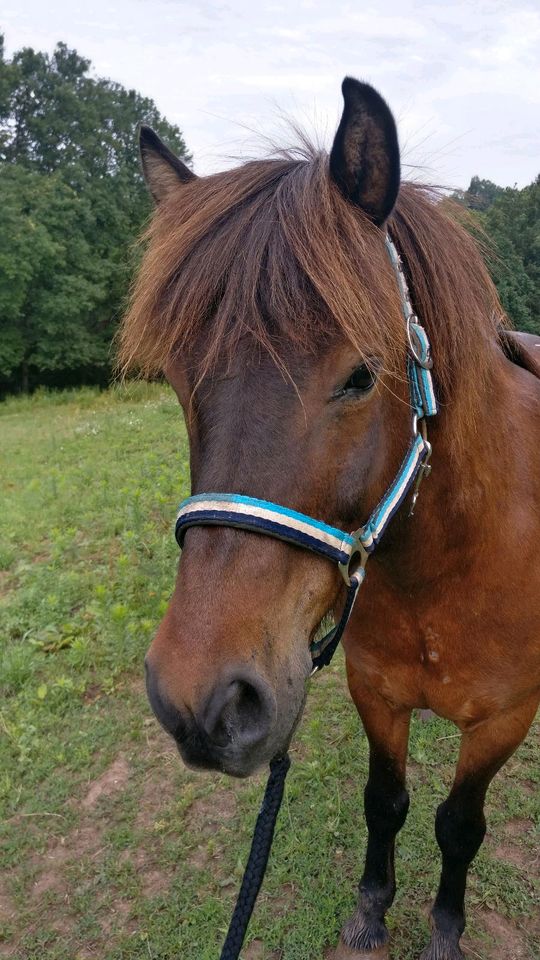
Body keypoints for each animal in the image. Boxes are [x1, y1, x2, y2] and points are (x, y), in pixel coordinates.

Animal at [119, 79, 540, 956]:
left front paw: (444, 928)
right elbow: (386, 803)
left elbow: (460, 826)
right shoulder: (373, 691)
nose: (201, 702)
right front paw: (371, 909)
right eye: (178, 379)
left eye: (360, 375)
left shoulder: (504, 721)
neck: (446, 566)